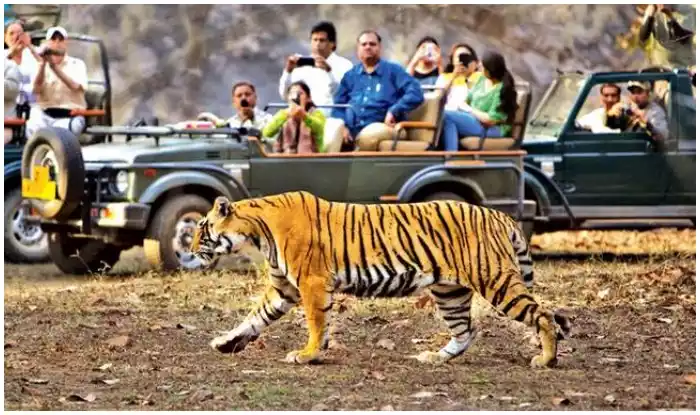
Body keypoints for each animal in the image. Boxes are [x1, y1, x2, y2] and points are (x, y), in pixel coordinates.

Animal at [190, 190, 568, 368]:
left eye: (203, 228)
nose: (191, 249)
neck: (257, 231)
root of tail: (500, 215)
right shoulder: (283, 288)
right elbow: (254, 318)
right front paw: (225, 342)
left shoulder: (311, 282)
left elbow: (316, 323)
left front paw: (308, 354)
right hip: (450, 292)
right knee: (467, 330)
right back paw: (435, 358)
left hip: (495, 280)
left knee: (542, 315)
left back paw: (546, 360)